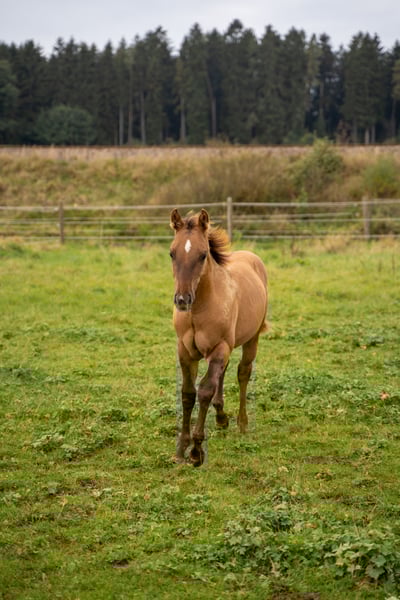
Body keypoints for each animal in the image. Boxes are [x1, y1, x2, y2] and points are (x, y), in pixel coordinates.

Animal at [169, 208, 268, 466]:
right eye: (172, 253)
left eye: (203, 255)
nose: (182, 300)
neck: (200, 308)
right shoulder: (185, 351)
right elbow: (188, 394)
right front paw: (181, 448)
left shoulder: (219, 347)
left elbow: (204, 390)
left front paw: (196, 451)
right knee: (222, 373)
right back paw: (221, 416)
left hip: (251, 339)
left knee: (243, 373)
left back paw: (242, 423)